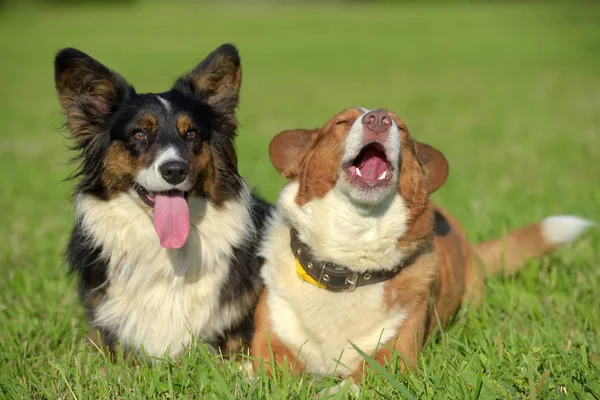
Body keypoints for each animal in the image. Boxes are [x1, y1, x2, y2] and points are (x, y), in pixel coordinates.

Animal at [251, 106, 592, 388]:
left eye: (401, 128)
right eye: (342, 122)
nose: (378, 118)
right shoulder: (270, 345)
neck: (348, 257)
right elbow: (267, 374)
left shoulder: (392, 358)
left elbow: (349, 386)